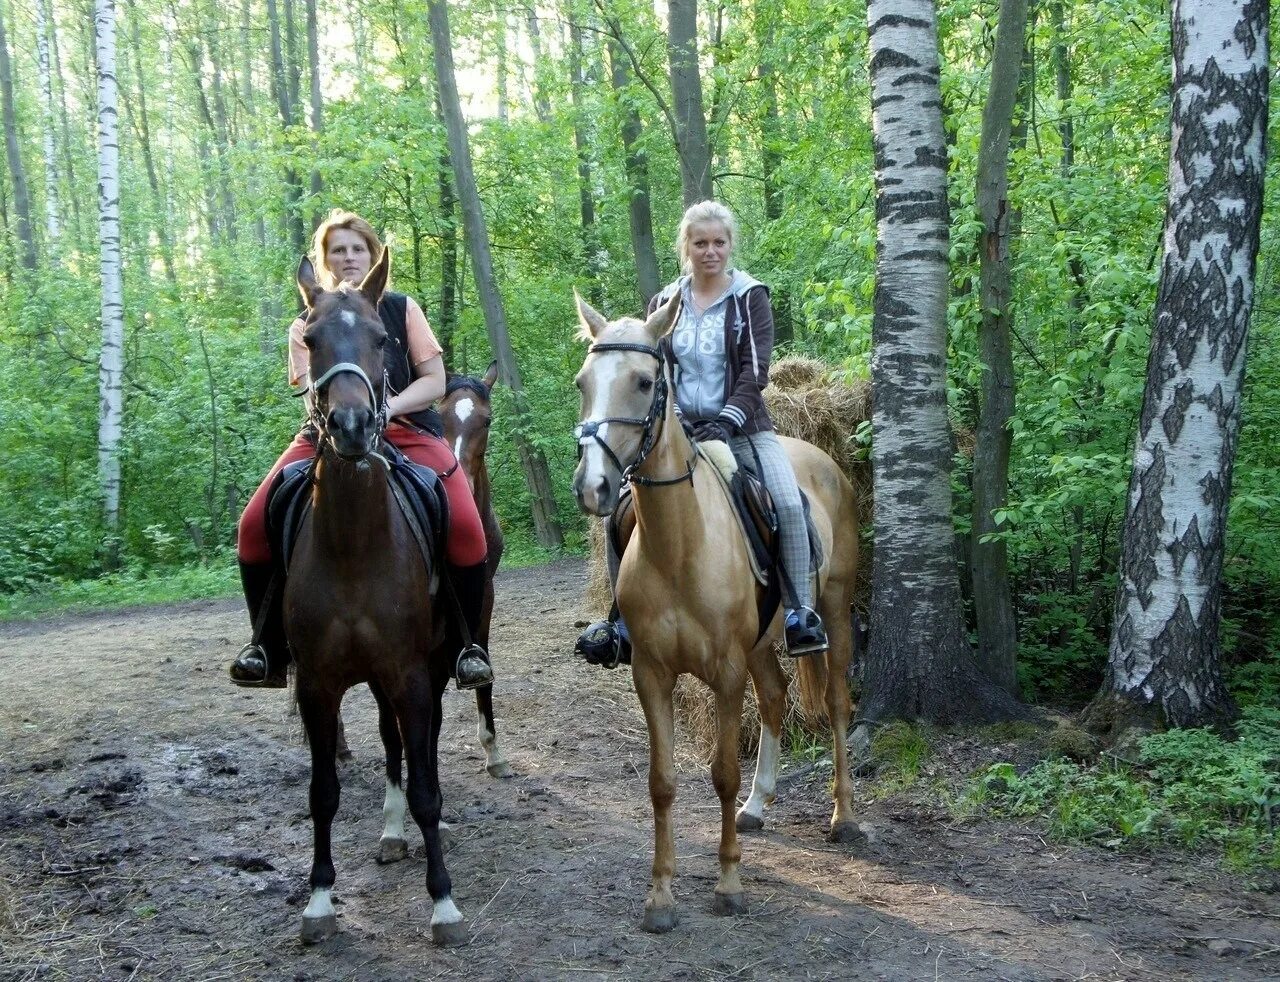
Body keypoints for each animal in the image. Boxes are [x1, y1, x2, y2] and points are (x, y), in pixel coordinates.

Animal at [285, 249, 471, 947]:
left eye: (381, 340)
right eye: (311, 340)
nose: (351, 425)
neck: (353, 547)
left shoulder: (412, 674)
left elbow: (424, 786)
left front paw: (443, 903)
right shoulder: (317, 685)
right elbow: (323, 793)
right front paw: (319, 900)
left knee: (421, 747)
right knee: (393, 745)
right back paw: (394, 835)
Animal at [573, 294, 860, 937]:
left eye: (645, 381)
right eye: (582, 383)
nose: (592, 486)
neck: (680, 545)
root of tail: (824, 459)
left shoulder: (726, 673)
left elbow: (723, 772)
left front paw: (729, 884)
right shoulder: (651, 674)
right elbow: (661, 783)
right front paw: (660, 895)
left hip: (834, 609)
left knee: (836, 704)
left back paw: (845, 817)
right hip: (760, 645)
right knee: (776, 696)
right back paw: (757, 805)